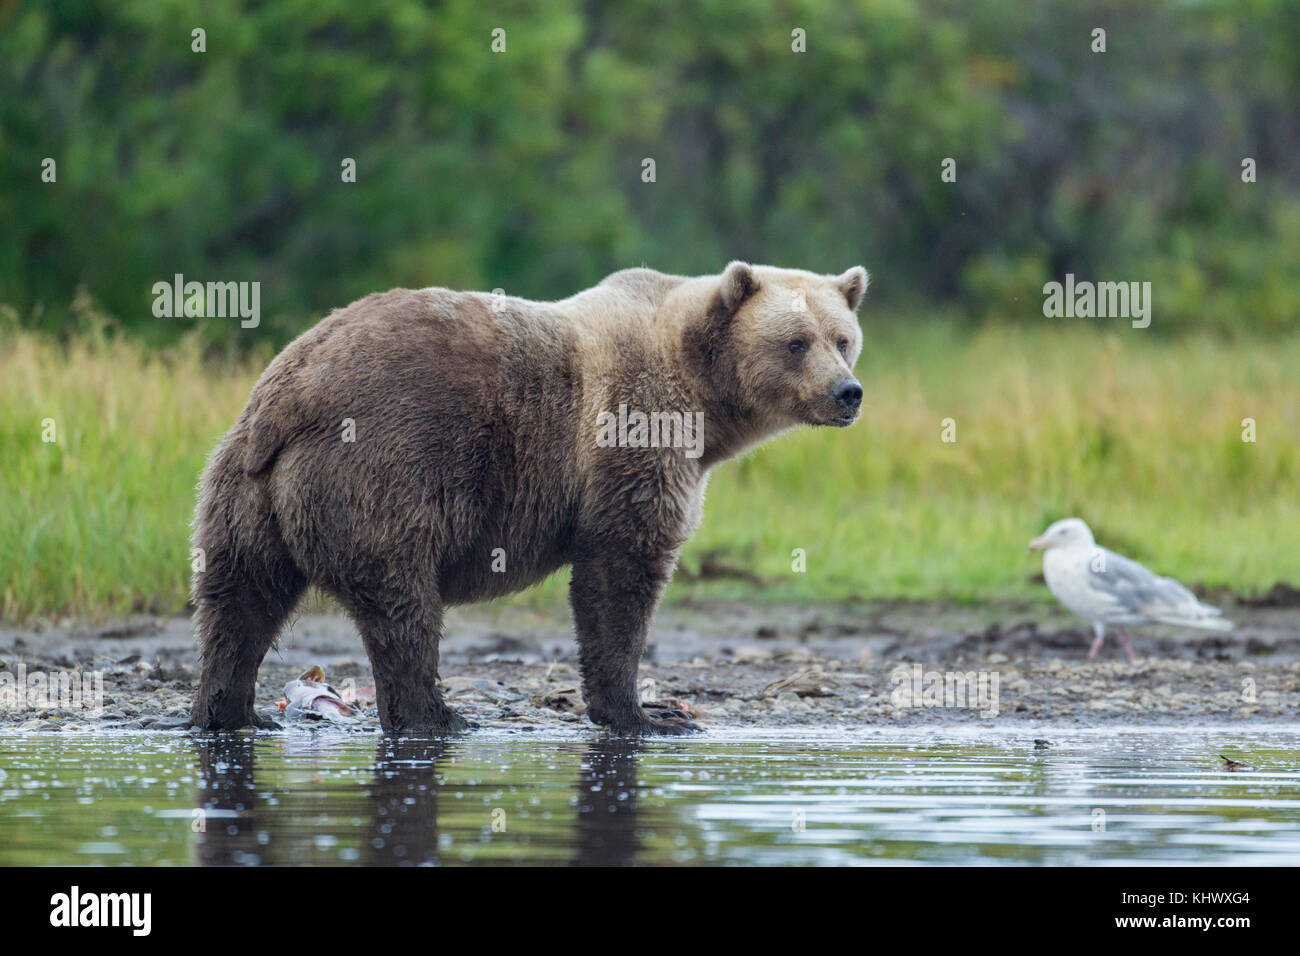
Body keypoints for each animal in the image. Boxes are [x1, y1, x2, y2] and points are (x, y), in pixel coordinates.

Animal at [189, 265, 863, 738]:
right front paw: (648, 713)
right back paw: (439, 715)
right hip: (381, 465)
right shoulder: (632, 436)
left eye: (844, 339)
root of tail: (294, 389)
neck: (703, 395)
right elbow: (621, 570)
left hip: (245, 487)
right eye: (796, 342)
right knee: (401, 600)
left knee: (239, 599)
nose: (847, 392)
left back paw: (232, 712)